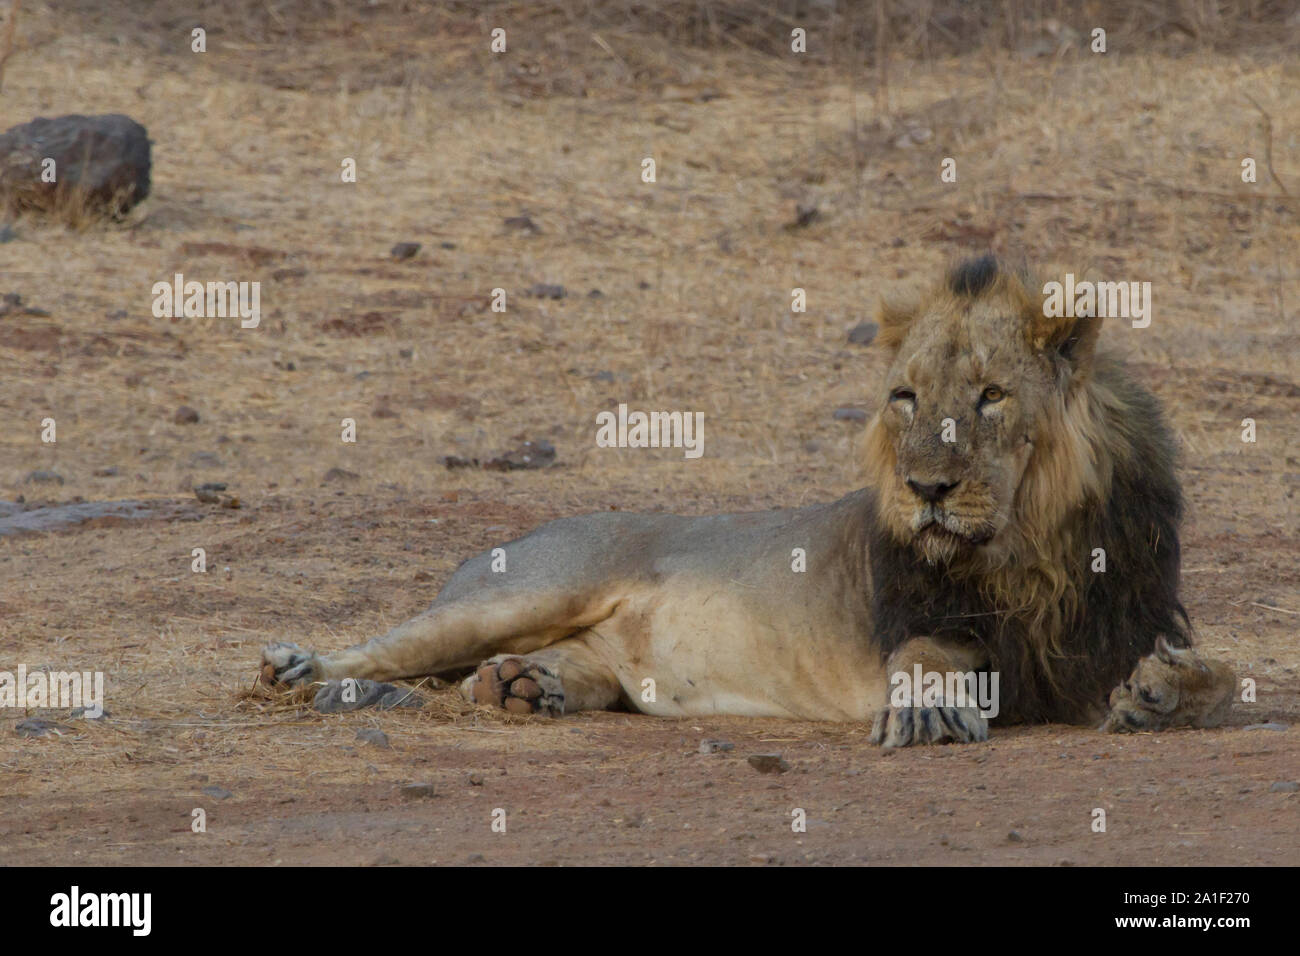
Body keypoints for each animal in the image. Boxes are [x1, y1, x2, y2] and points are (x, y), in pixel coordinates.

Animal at [258, 254, 1232, 749]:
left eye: (991, 396)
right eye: (905, 397)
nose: (925, 489)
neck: (1030, 542)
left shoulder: (1118, 624)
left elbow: (1222, 679)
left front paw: (1162, 696)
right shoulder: (935, 619)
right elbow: (928, 654)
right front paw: (926, 705)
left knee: (549, 670)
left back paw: (523, 687)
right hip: (522, 591)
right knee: (393, 647)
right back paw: (305, 671)